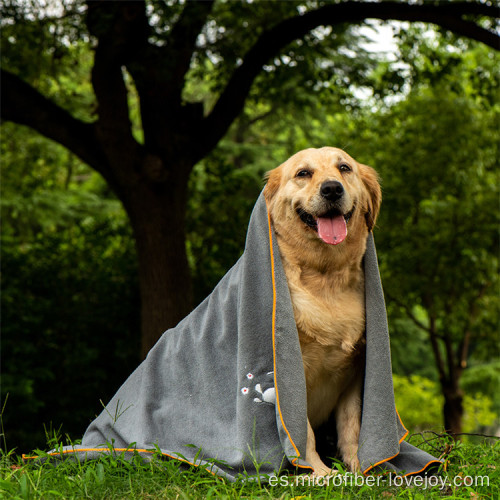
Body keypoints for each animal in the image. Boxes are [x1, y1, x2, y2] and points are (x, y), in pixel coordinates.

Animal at [264, 146, 380, 476]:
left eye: (344, 168)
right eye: (303, 173)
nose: (331, 189)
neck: (327, 280)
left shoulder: (356, 370)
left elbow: (351, 425)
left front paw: (357, 467)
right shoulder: (291, 371)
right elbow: (302, 431)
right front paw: (318, 471)